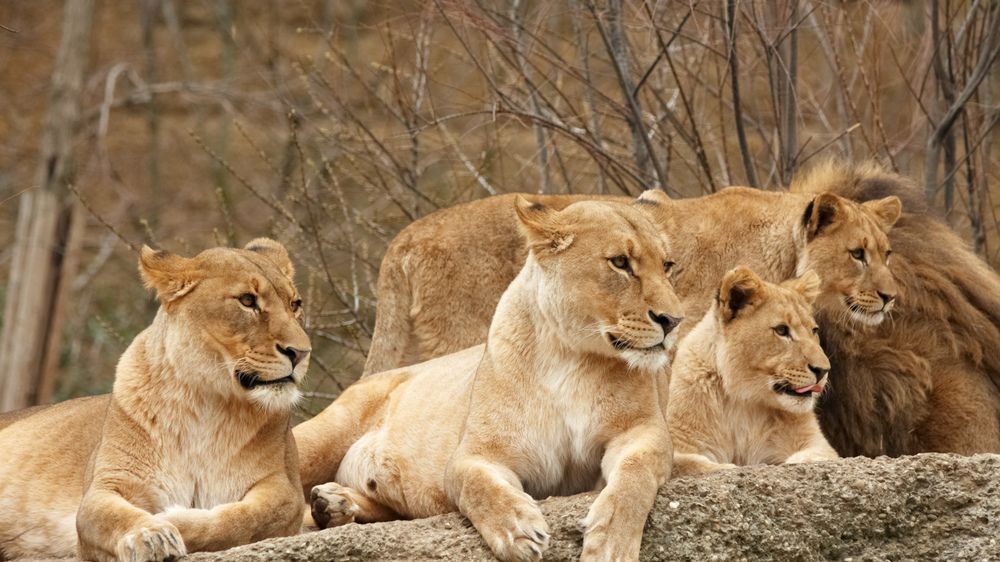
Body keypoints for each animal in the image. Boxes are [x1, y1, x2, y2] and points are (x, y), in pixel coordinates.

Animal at [0, 239, 308, 562]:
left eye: (295, 304)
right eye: (247, 301)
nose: (301, 352)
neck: (207, 401)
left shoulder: (285, 489)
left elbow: (244, 521)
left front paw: (173, 518)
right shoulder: (106, 486)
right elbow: (110, 516)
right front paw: (150, 535)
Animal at [295, 197, 682, 562]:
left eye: (667, 265)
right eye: (620, 262)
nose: (673, 320)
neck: (570, 358)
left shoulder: (642, 431)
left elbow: (635, 474)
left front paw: (610, 541)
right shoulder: (475, 453)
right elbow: (476, 485)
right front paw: (518, 530)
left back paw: (334, 504)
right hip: (322, 435)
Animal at [669, 267, 839, 476]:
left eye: (814, 330)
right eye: (781, 330)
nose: (823, 370)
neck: (744, 403)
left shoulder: (814, 441)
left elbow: (820, 456)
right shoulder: (678, 436)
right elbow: (685, 462)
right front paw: (726, 467)